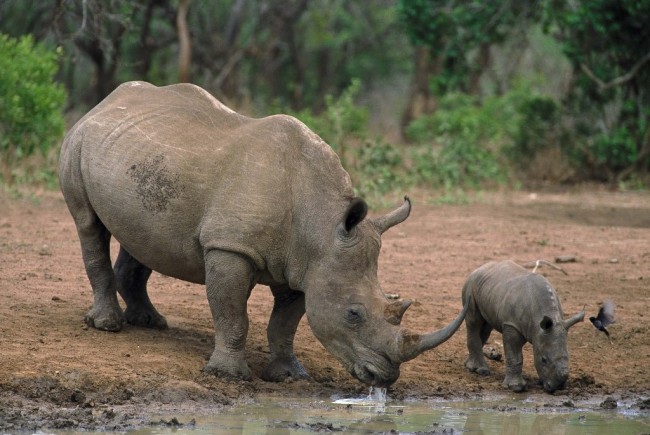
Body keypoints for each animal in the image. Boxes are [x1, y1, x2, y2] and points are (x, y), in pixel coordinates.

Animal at [59, 81, 468, 387]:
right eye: (353, 314)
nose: (384, 377)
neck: (320, 224)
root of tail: (104, 103)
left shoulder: (306, 267)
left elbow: (284, 324)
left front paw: (288, 376)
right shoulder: (230, 248)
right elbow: (233, 315)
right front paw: (228, 376)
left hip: (138, 156)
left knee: (140, 236)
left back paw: (149, 322)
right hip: (78, 143)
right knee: (88, 224)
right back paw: (108, 326)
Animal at [461, 260, 584, 393]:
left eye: (568, 357)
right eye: (543, 360)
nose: (558, 386)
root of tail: (478, 269)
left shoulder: (536, 330)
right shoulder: (511, 324)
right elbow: (515, 356)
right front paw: (516, 387)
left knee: (485, 328)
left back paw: (469, 365)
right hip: (471, 285)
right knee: (474, 322)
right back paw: (481, 371)